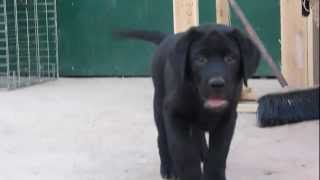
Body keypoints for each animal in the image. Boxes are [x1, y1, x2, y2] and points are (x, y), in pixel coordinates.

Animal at [115, 24, 260, 180]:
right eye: (200, 59)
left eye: (230, 58)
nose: (217, 84)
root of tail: (167, 38)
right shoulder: (173, 114)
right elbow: (184, 153)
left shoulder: (228, 118)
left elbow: (218, 154)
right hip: (159, 105)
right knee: (162, 138)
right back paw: (168, 168)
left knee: (197, 132)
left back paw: (202, 152)